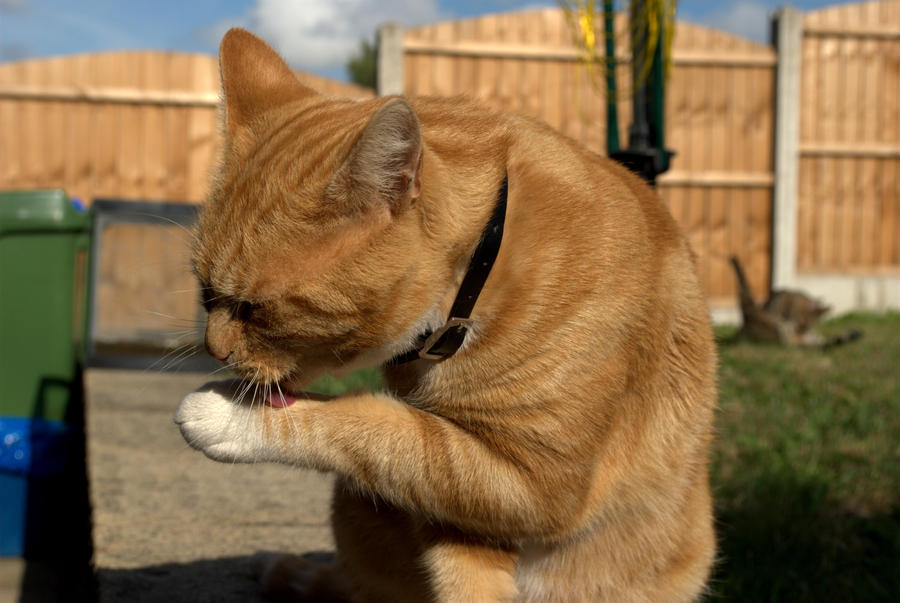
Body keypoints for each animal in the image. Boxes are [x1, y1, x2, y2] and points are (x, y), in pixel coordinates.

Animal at [174, 28, 716, 603]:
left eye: (254, 309)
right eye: (204, 292)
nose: (214, 350)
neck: (480, 270)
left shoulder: (534, 483)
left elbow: (381, 425)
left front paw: (230, 416)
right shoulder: (474, 507)